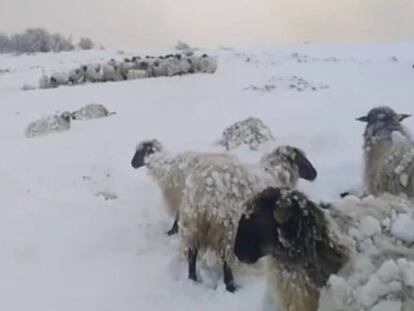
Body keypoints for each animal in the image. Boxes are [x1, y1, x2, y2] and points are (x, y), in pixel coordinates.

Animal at [178, 146, 316, 292]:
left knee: (192, 254)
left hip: (192, 224)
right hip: (228, 229)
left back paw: (192, 279)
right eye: (302, 158)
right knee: (226, 260)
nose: (315, 174)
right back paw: (230, 286)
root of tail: (205, 189)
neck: (276, 173)